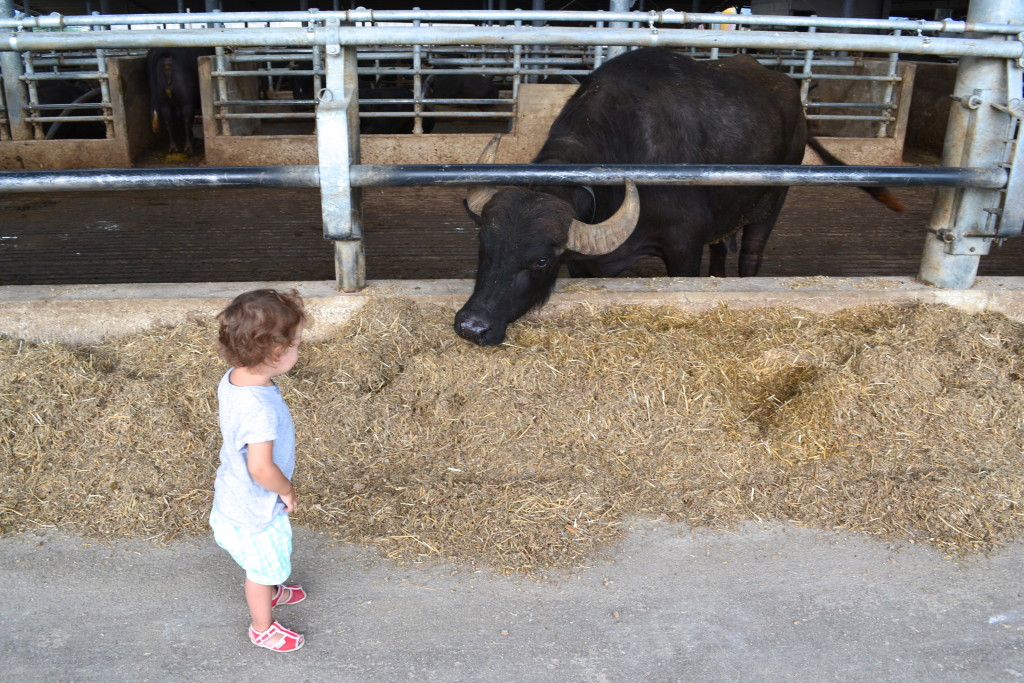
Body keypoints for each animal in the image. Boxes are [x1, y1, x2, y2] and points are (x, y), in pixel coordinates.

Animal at [452, 48, 901, 348]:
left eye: (541, 260)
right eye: (483, 244)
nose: (472, 326)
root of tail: (793, 96)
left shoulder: (683, 248)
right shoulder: (584, 263)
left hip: (772, 200)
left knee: (751, 253)